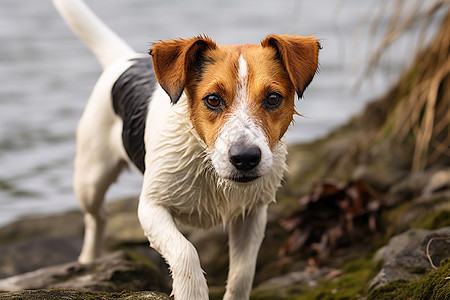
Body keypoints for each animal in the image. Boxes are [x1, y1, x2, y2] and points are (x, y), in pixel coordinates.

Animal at [53, 0, 320, 298]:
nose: (245, 158)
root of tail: (126, 59)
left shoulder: (252, 214)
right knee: (96, 218)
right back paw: (89, 260)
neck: (207, 163)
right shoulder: (151, 207)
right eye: (213, 99)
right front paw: (192, 291)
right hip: (90, 180)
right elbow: (185, 251)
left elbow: (242, 273)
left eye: (273, 98)